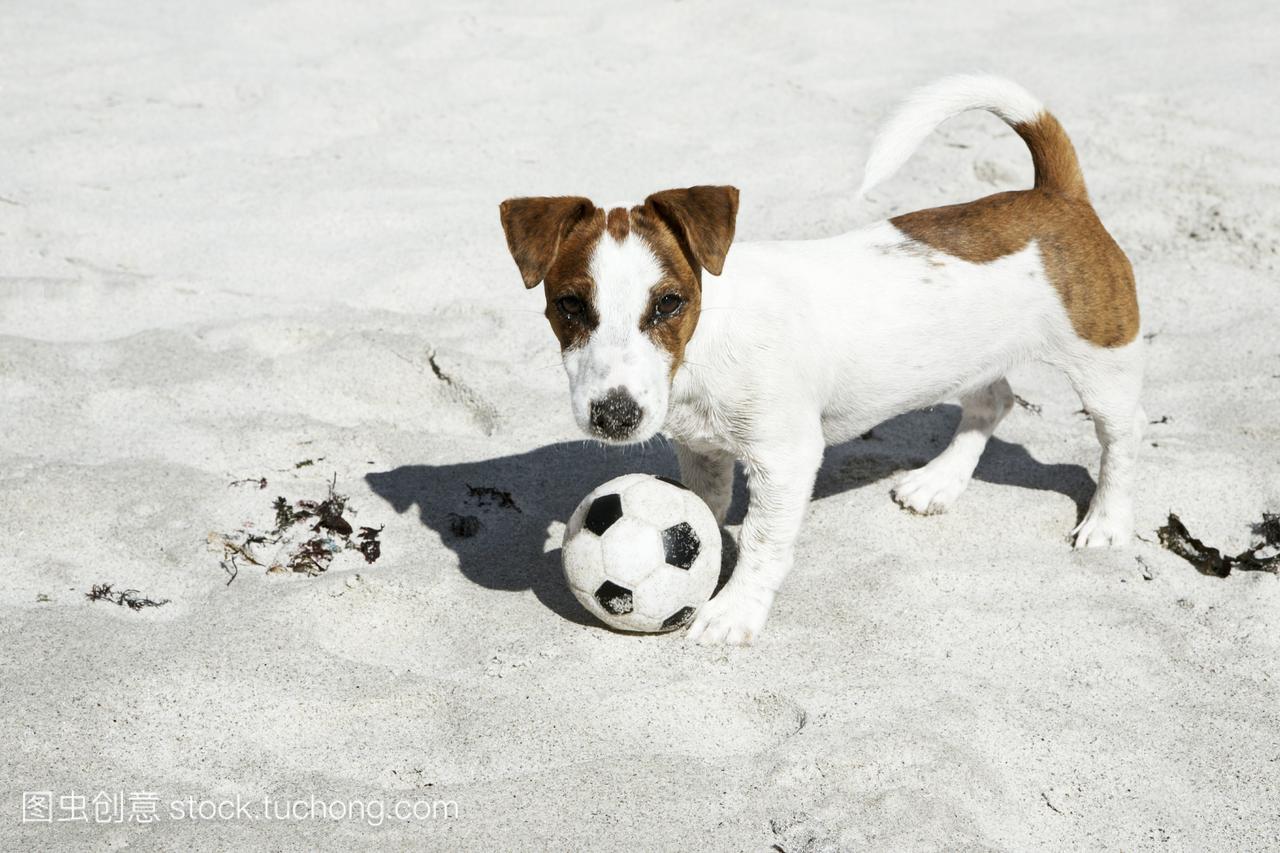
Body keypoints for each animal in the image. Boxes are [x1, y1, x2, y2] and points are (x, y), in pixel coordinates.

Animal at [496, 74, 1141, 645]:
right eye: (570, 305)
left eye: (669, 304)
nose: (615, 417)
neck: (703, 346)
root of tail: (1055, 196)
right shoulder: (701, 448)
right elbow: (703, 509)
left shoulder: (786, 459)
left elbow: (762, 543)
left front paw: (733, 612)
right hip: (972, 358)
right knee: (995, 399)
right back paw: (939, 482)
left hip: (1104, 360)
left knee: (1119, 441)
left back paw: (1108, 520)